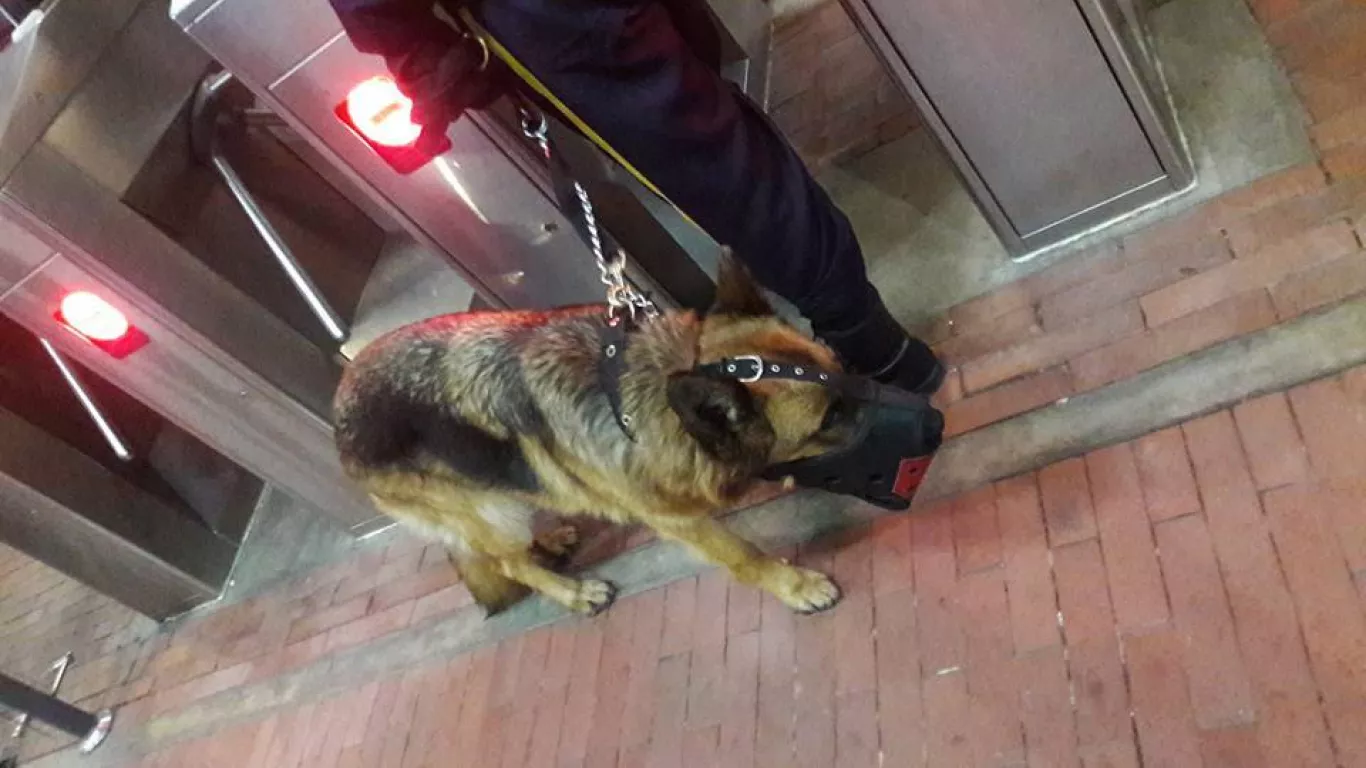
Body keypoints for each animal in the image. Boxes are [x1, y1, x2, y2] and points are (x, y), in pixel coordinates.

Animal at [333, 258, 852, 614]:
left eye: (843, 369)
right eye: (828, 417)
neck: (642, 397)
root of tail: (338, 409)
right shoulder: (675, 519)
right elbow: (745, 555)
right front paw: (796, 587)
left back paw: (551, 540)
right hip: (486, 511)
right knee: (507, 562)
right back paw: (574, 591)